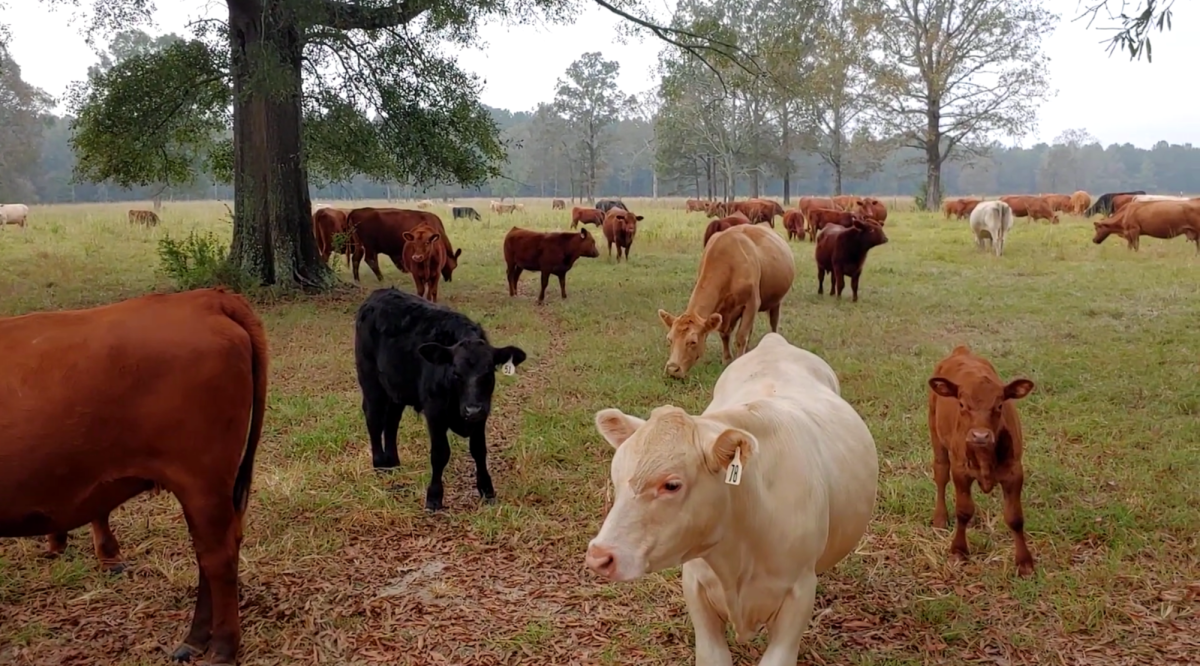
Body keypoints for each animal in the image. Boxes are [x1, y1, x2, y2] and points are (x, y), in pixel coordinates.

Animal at [0, 287, 269, 665]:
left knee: (218, 558)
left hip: (202, 481)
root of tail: (204, 298)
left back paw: (222, 648)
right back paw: (195, 639)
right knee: (209, 554)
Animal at [353, 288, 527, 511]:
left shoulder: (482, 414)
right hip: (370, 380)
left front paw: (487, 490)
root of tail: (378, 294)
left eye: (489, 372)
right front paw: (434, 497)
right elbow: (440, 453)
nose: (471, 410)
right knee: (373, 418)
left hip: (397, 390)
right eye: (456, 373)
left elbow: (479, 450)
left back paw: (393, 462)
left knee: (391, 422)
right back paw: (380, 463)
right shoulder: (435, 413)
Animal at [585, 332, 878, 666]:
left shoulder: (799, 594)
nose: (599, 556)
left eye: (672, 485)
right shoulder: (695, 585)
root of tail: (774, 341)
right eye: (616, 476)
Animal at [658, 224, 795, 378]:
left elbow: (741, 336)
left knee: (773, 322)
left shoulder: (752, 303)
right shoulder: (723, 311)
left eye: (693, 342)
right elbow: (725, 334)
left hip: (776, 301)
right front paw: (727, 359)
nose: (672, 370)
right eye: (669, 339)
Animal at [928, 345, 1036, 577]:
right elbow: (963, 511)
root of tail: (961, 350)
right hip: (936, 435)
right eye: (961, 404)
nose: (980, 436)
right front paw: (958, 551)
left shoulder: (1015, 472)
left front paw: (1024, 562)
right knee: (940, 473)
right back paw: (940, 518)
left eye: (999, 405)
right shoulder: (960, 470)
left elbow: (1015, 518)